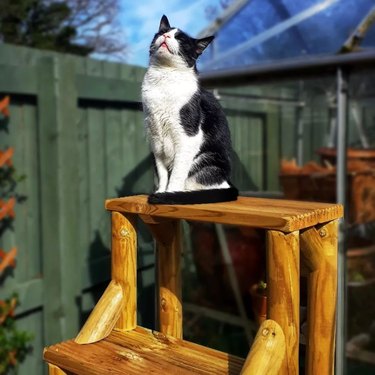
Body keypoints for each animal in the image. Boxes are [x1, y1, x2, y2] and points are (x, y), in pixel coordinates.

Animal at [141, 15, 238, 206]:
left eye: (180, 39)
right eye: (162, 32)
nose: (166, 36)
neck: (163, 79)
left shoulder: (188, 138)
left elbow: (176, 174)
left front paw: (169, 195)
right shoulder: (156, 142)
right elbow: (162, 173)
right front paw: (161, 190)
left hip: (206, 160)